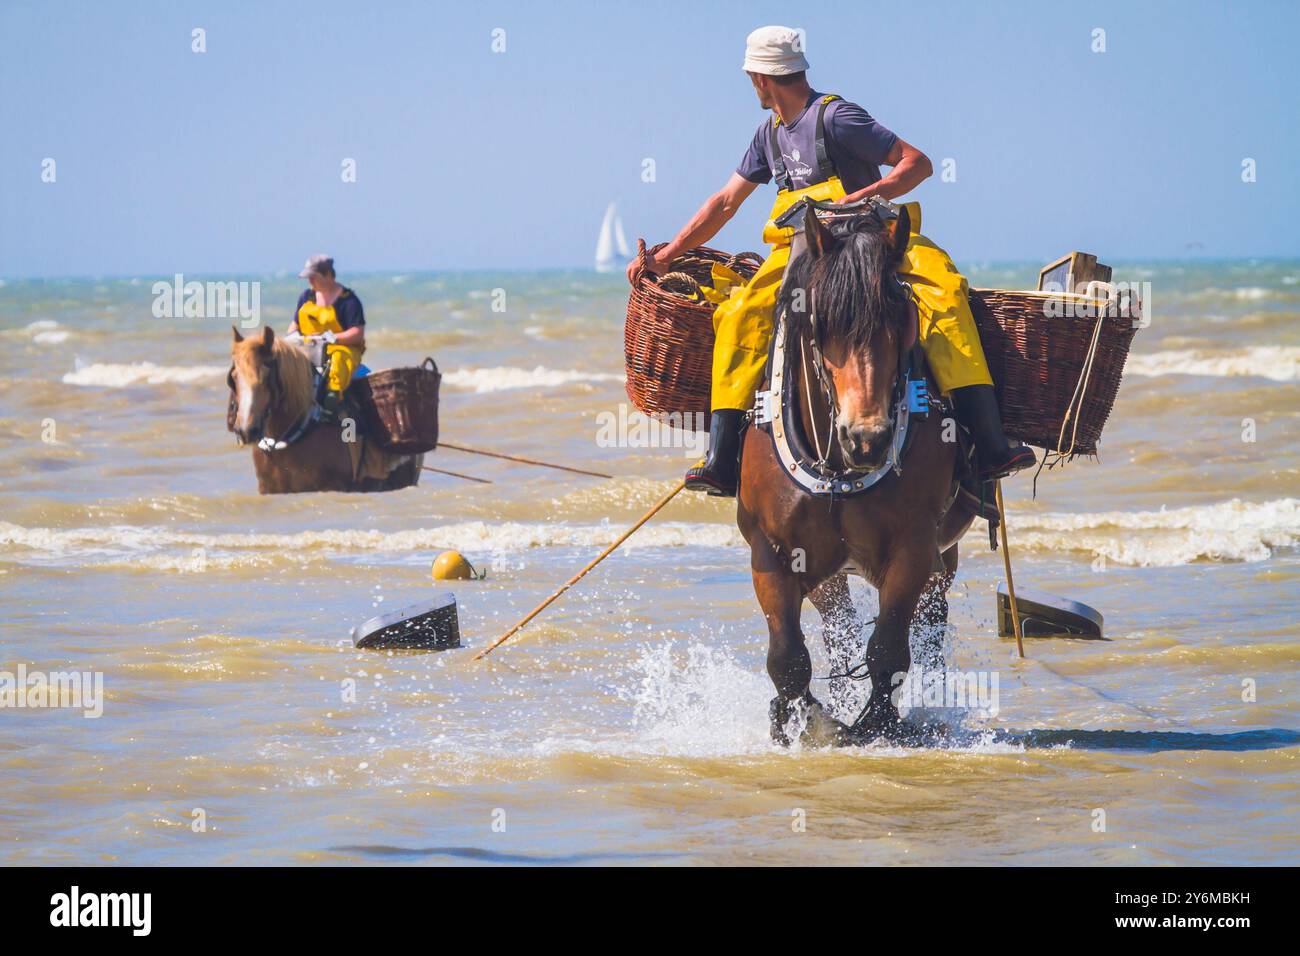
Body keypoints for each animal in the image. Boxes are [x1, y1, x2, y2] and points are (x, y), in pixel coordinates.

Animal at [736, 204, 979, 746]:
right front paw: (801, 721)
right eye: (819, 323)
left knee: (929, 627)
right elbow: (787, 659)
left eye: (903, 320)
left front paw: (876, 725)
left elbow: (889, 648)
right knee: (838, 629)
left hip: (942, 556)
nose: (867, 438)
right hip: (827, 573)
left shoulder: (915, 545)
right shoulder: (771, 549)